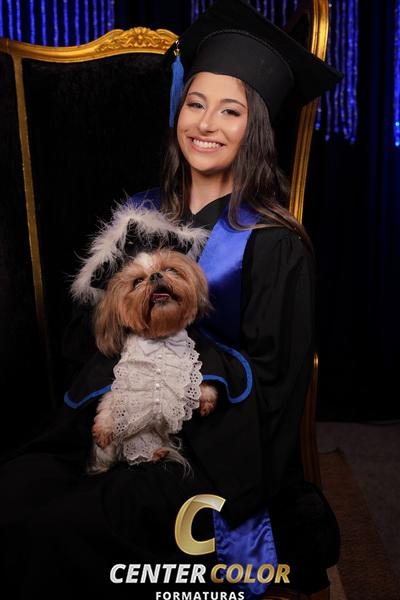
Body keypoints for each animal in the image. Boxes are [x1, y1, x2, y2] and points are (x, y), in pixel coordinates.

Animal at [87, 248, 218, 474]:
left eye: (170, 269)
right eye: (138, 281)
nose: (155, 276)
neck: (160, 339)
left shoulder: (190, 369)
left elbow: (200, 382)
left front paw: (207, 398)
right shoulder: (119, 383)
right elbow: (109, 401)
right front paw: (103, 428)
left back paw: (158, 454)